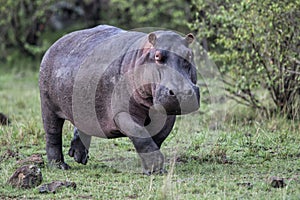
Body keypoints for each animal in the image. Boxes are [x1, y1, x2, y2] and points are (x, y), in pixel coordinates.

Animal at [39, 24, 199, 175]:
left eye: (190, 55)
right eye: (157, 56)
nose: (183, 92)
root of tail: (56, 43)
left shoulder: (167, 116)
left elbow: (157, 137)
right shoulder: (122, 113)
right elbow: (141, 135)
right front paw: (155, 169)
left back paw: (79, 157)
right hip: (48, 105)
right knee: (52, 134)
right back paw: (60, 166)